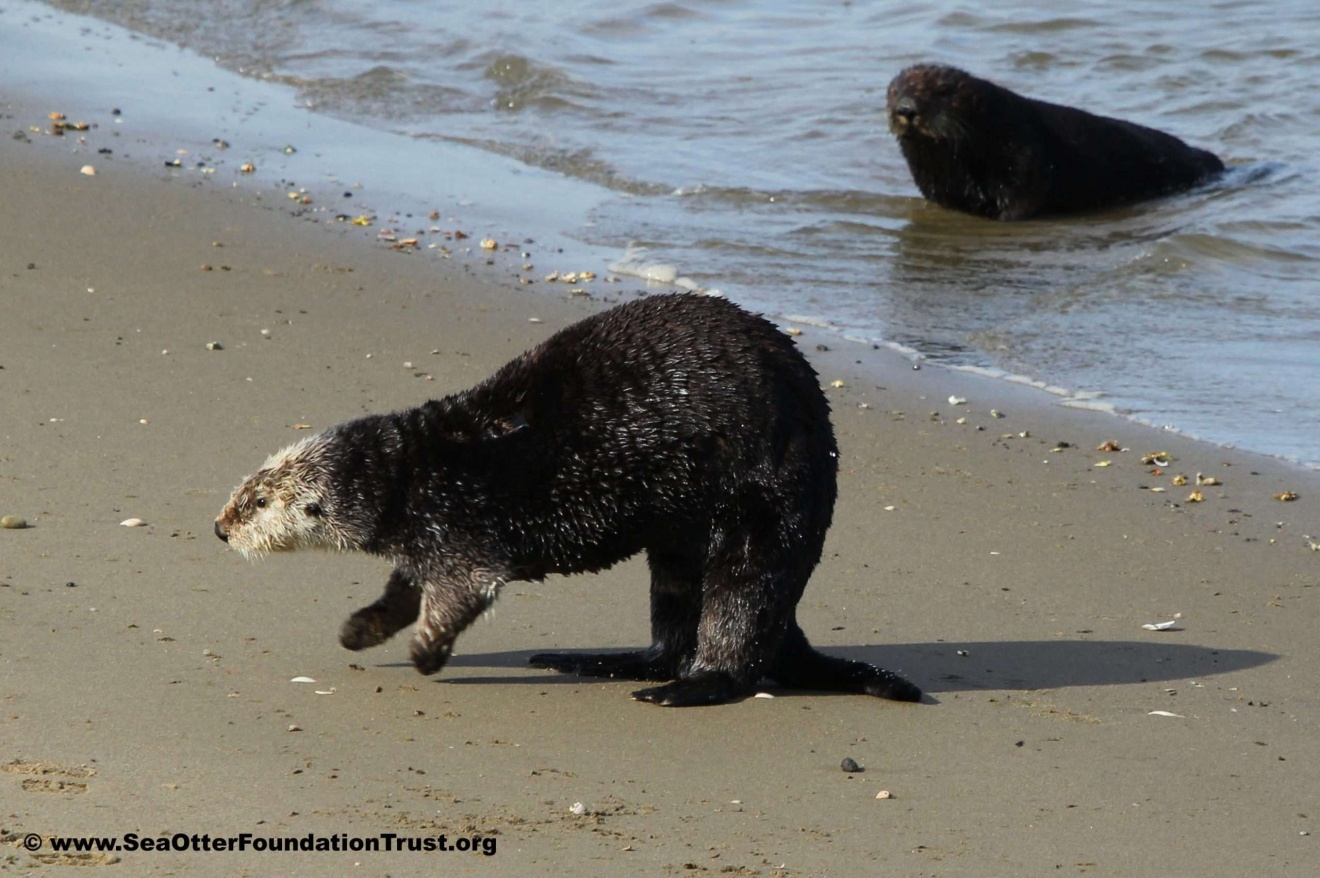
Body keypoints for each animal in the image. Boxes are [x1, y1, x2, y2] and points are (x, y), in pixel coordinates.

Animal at [215, 294, 921, 707]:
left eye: (256, 501)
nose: (220, 528)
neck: (415, 469)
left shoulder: (457, 527)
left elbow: (466, 588)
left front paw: (425, 651)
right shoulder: (423, 540)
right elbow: (402, 589)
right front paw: (360, 628)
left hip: (763, 511)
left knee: (741, 623)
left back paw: (686, 688)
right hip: (679, 546)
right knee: (674, 629)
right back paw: (597, 661)